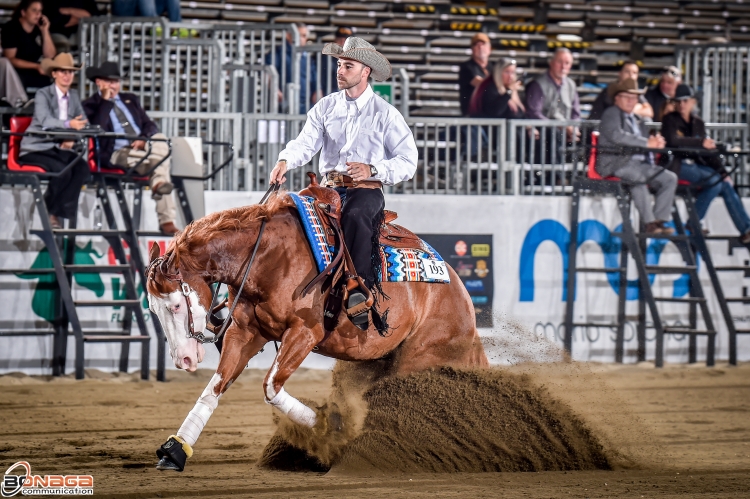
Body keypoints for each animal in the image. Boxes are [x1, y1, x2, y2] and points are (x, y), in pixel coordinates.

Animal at [148, 191, 488, 472]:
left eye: (175, 306)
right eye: (152, 308)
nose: (183, 360)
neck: (268, 258)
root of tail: (462, 297)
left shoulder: (304, 333)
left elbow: (271, 387)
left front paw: (330, 429)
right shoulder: (245, 332)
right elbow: (213, 389)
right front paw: (175, 451)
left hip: (418, 359)